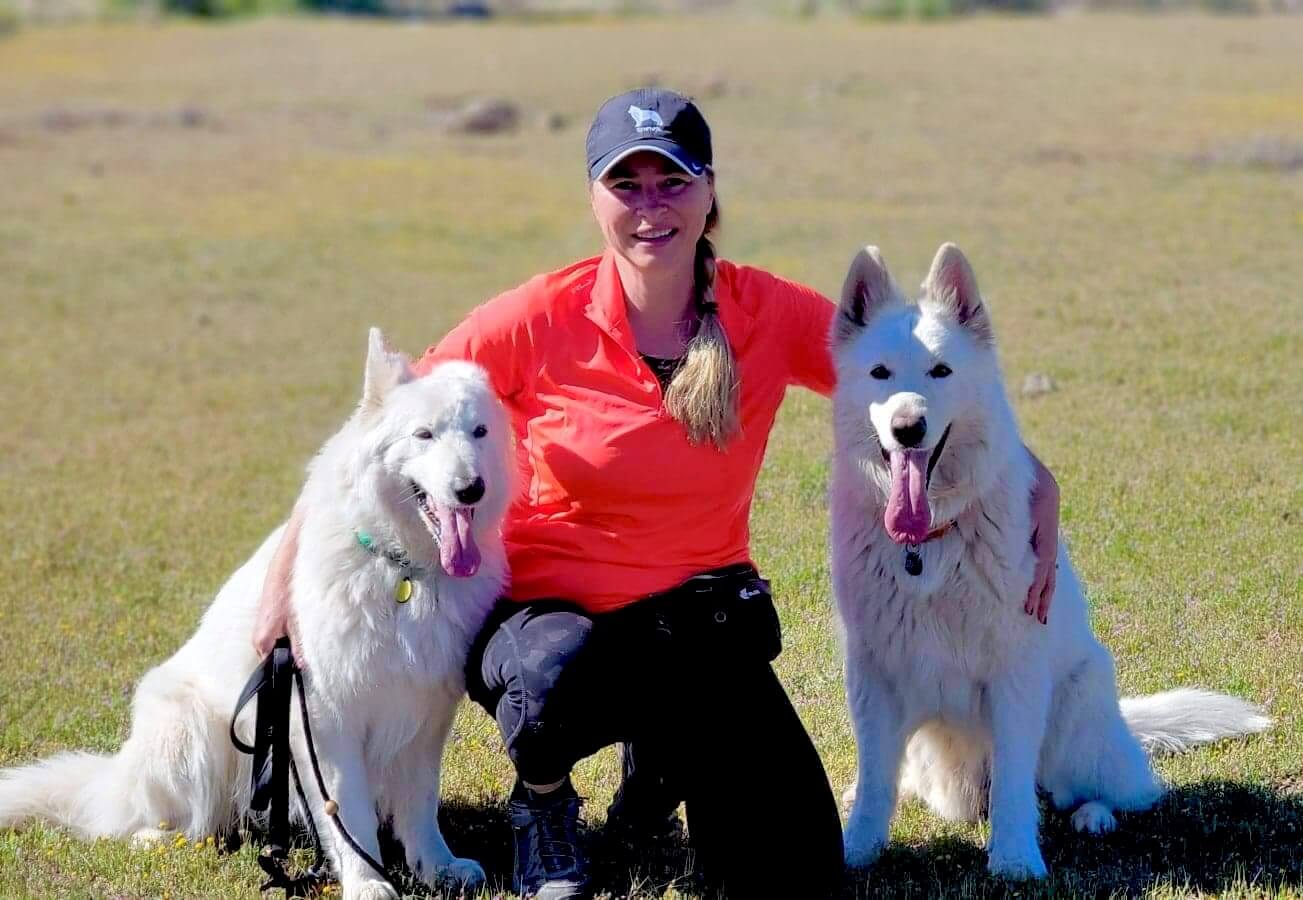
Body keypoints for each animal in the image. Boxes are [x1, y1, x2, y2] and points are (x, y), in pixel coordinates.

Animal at [0, 329, 513, 900]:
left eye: (479, 432)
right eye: (424, 435)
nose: (471, 488)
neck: (401, 569)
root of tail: (117, 781)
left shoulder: (424, 713)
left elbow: (419, 805)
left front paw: (436, 867)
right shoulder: (325, 719)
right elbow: (346, 812)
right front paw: (368, 881)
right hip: (189, 729)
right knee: (169, 821)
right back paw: (162, 838)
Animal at [830, 244, 1270, 880]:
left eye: (941, 372)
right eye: (880, 374)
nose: (907, 428)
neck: (929, 541)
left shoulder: (1014, 677)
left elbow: (1015, 786)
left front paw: (1015, 860)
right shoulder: (874, 679)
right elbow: (874, 785)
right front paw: (856, 849)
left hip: (1074, 723)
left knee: (1117, 792)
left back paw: (1094, 816)